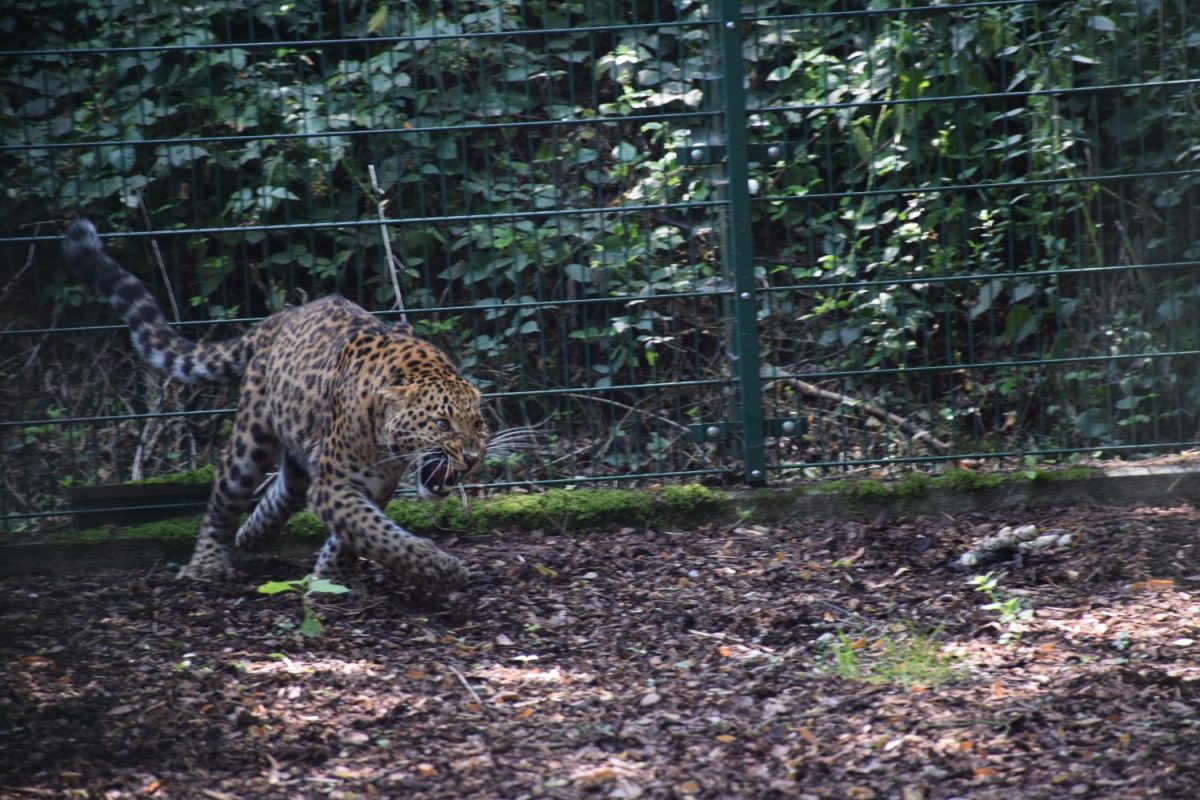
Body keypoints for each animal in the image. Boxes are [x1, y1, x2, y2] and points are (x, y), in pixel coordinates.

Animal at [63, 219, 487, 594]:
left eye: (479, 424)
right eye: (442, 424)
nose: (471, 459)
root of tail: (279, 317)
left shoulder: (371, 486)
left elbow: (353, 535)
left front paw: (329, 577)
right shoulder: (337, 485)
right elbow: (377, 534)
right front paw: (439, 568)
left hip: (299, 445)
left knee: (286, 490)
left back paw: (253, 535)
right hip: (251, 439)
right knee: (224, 496)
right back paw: (207, 562)